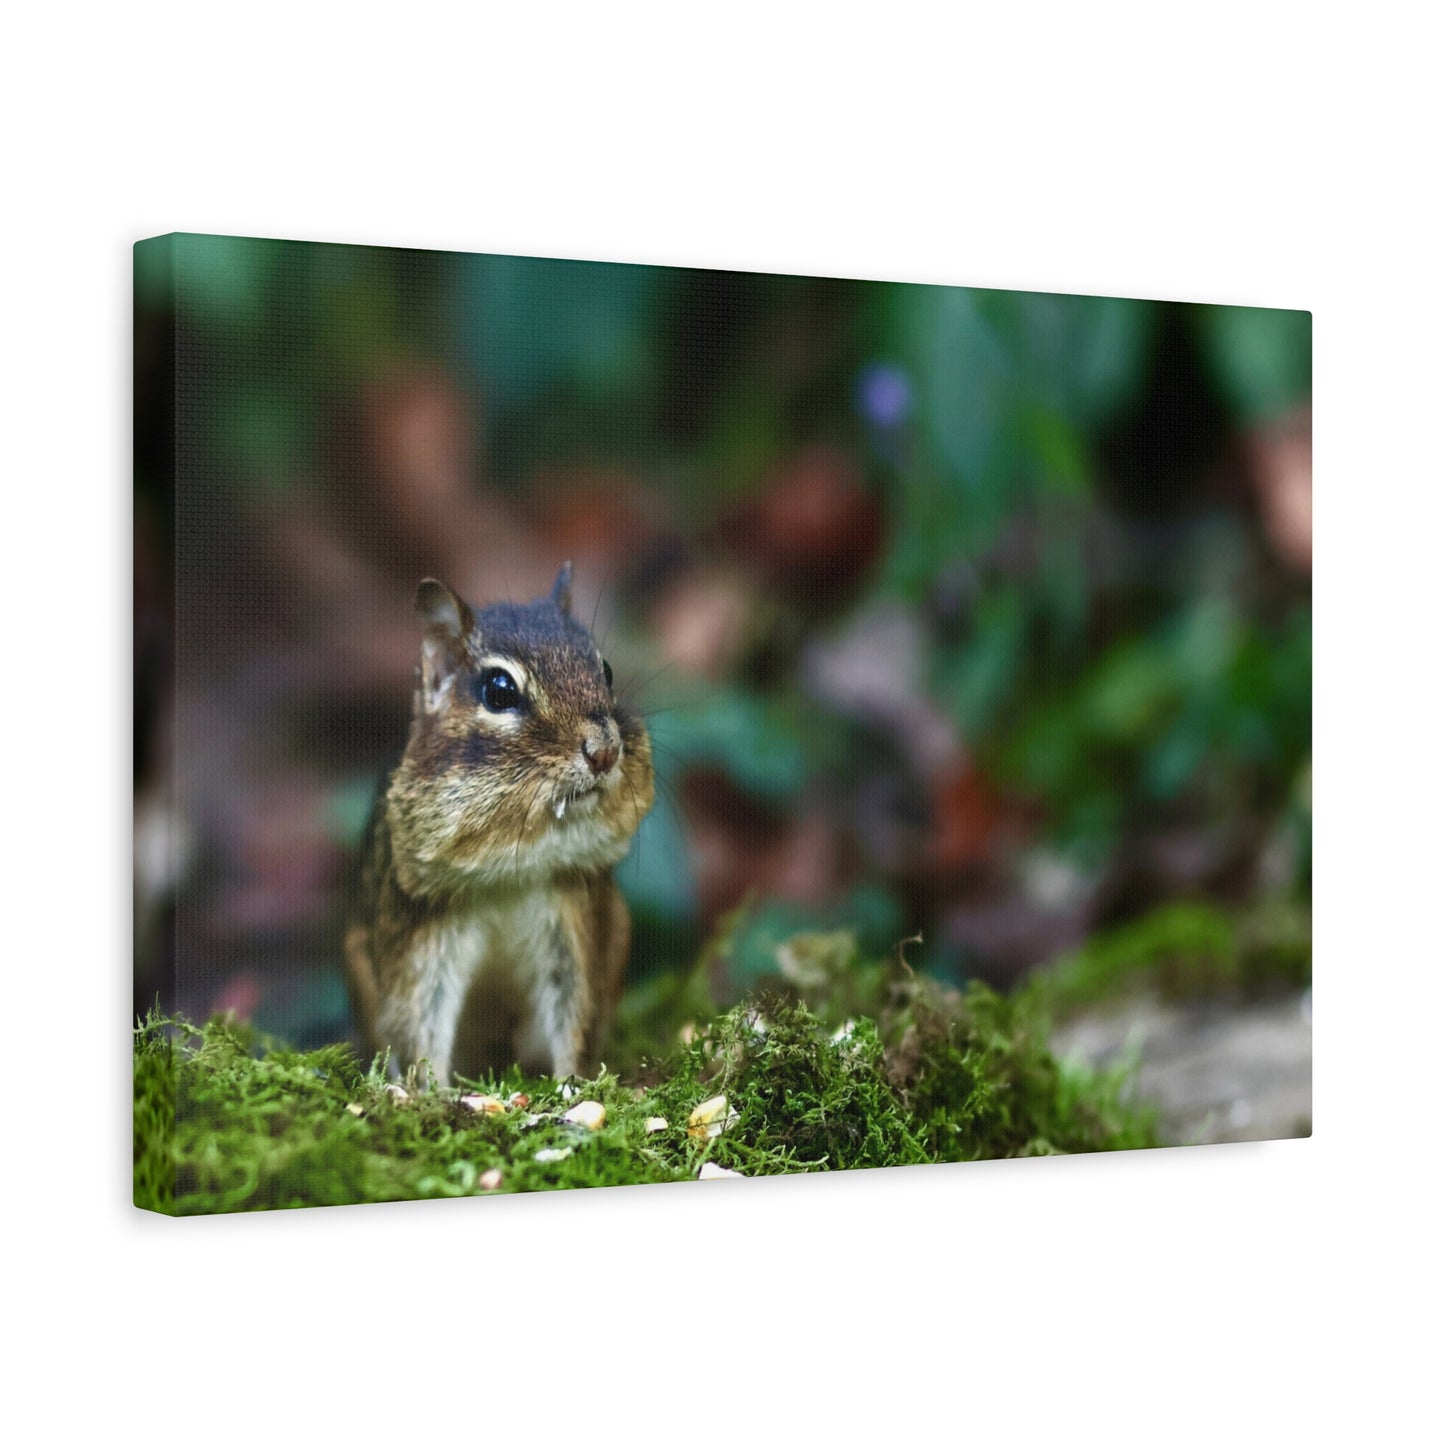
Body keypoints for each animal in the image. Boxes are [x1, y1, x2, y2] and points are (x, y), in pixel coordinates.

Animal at [345, 563, 654, 1086]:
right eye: (499, 690)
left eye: (607, 671)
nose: (604, 751)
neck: (514, 869)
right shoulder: (422, 935)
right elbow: (419, 1021)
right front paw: (427, 1092)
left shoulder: (574, 919)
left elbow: (577, 1009)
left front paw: (574, 1086)